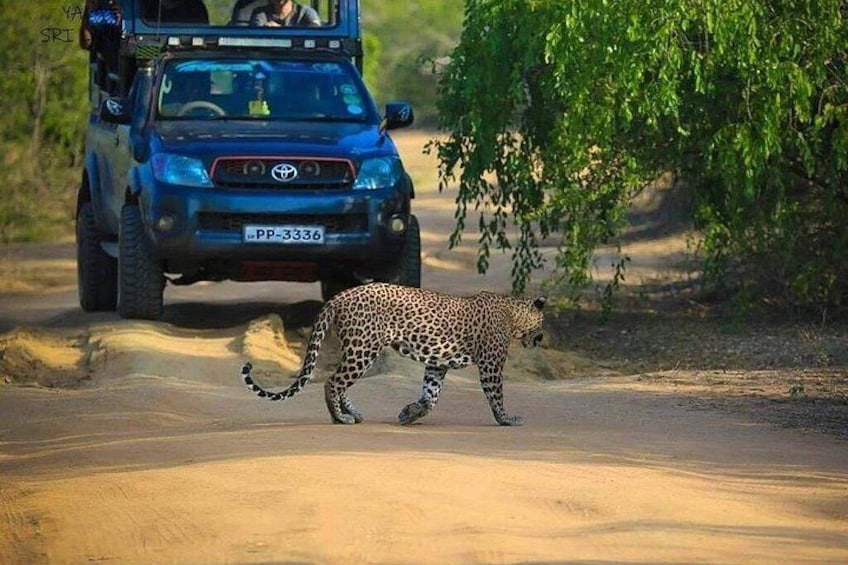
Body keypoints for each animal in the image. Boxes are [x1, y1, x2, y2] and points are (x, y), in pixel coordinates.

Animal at [240, 282, 546, 426]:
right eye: (543, 322)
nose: (542, 338)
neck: (514, 314)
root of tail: (340, 296)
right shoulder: (491, 364)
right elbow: (496, 395)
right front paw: (507, 419)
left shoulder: (438, 364)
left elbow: (431, 396)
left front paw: (409, 413)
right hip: (363, 349)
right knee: (333, 383)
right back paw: (340, 418)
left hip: (357, 350)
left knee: (339, 383)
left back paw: (352, 413)